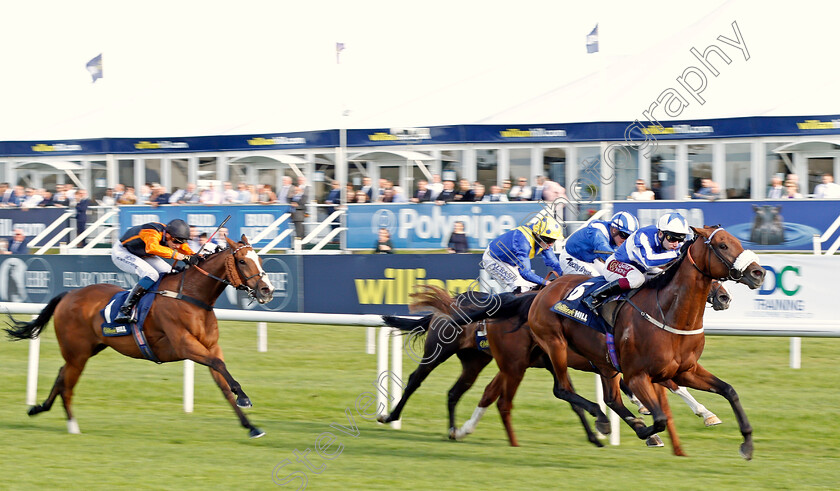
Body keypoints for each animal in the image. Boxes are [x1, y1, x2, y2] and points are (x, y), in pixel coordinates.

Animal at [4, 236, 274, 440]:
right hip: (77, 353)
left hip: (88, 349)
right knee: (67, 384)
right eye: (242, 261)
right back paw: (72, 425)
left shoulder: (210, 347)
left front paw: (251, 426)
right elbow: (220, 367)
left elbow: (223, 382)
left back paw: (39, 408)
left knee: (61, 375)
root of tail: (69, 294)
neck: (190, 296)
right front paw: (244, 397)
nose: (267, 290)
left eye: (259, 259)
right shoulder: (185, 345)